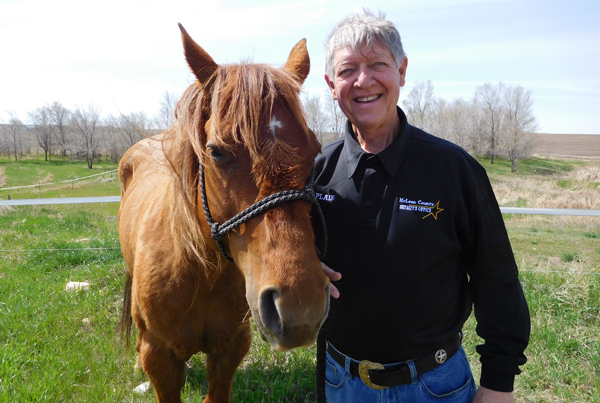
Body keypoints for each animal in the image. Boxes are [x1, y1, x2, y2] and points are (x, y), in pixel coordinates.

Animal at [118, 25, 330, 403]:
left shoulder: (231, 347)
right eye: (216, 152)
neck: (201, 273)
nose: (300, 307)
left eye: (316, 150)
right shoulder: (159, 358)